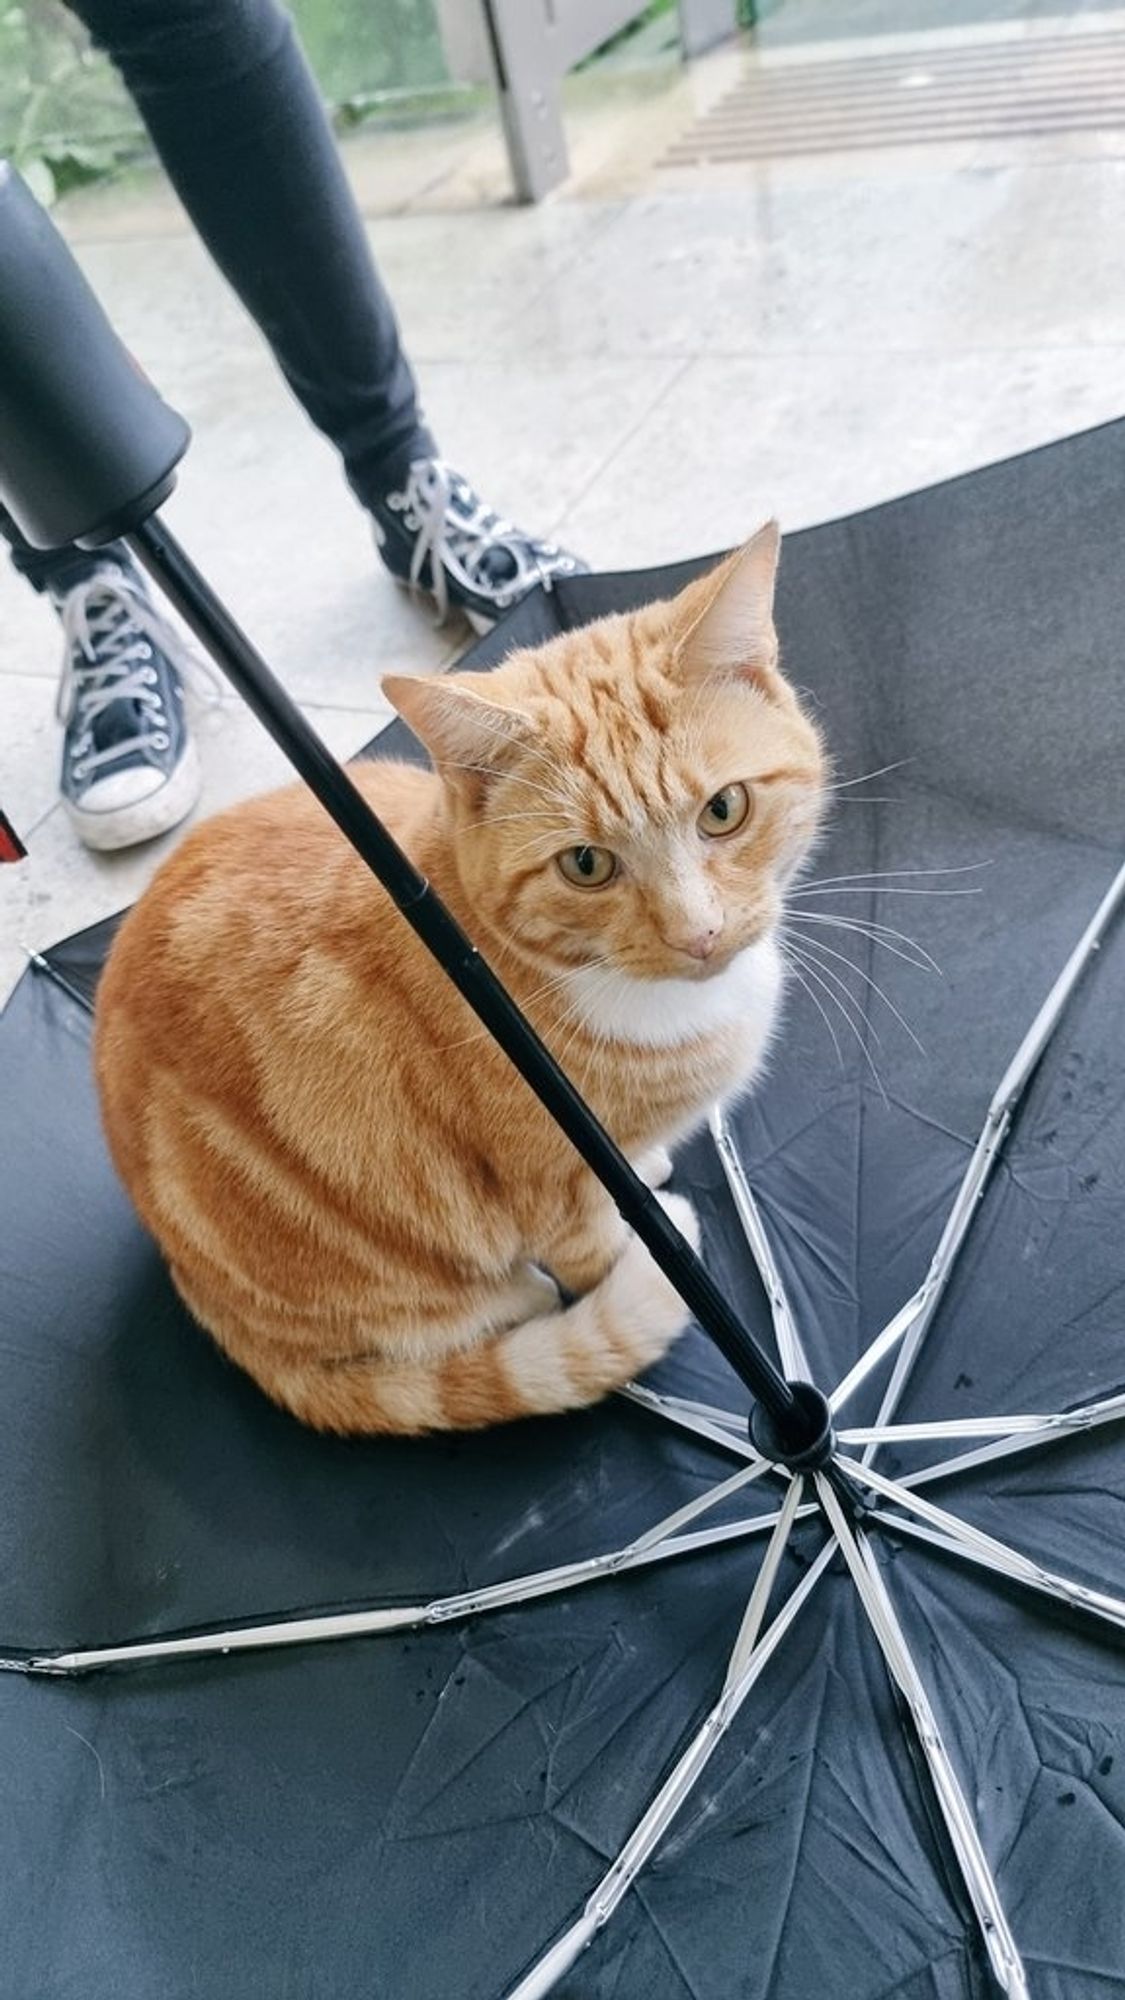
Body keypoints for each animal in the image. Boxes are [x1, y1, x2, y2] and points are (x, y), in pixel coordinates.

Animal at [92, 528, 820, 1440]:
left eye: (723, 810)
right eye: (586, 865)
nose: (699, 934)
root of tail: (214, 1311)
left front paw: (648, 1163)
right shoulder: (552, 1190)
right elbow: (597, 1252)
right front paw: (634, 1259)